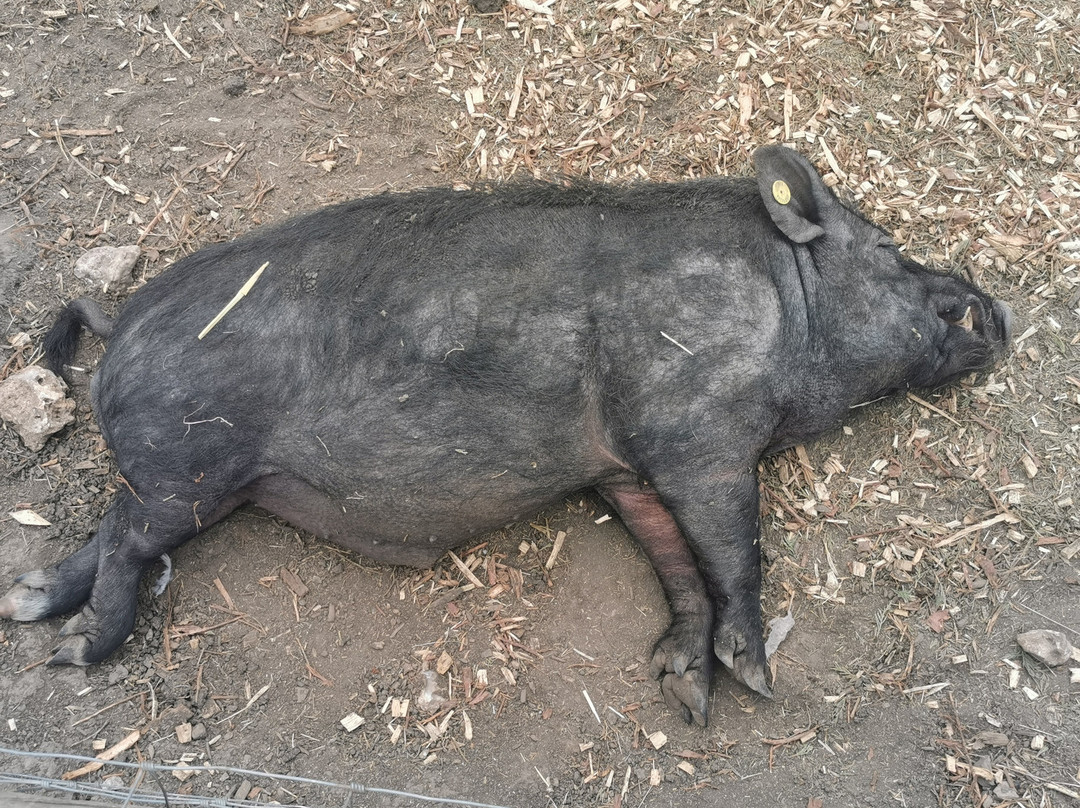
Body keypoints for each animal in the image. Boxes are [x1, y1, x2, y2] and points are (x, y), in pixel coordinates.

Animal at [0, 146, 1011, 726]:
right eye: (885, 251)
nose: (990, 306)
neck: (778, 301)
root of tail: (120, 324)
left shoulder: (628, 468)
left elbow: (674, 561)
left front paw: (685, 691)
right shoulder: (702, 438)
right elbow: (733, 552)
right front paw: (755, 682)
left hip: (185, 481)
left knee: (108, 530)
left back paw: (27, 604)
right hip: (191, 466)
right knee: (129, 542)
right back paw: (73, 652)